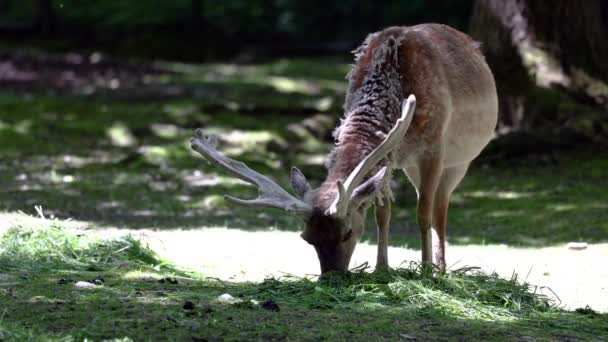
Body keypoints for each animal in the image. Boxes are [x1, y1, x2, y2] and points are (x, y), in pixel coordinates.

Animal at [191, 24, 498, 274]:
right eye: (306, 238)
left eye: (347, 233)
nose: (331, 277)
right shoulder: (390, 155)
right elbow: (382, 213)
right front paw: (382, 269)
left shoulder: (433, 149)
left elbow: (423, 213)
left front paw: (425, 273)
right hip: (411, 165)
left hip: (458, 161)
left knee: (440, 208)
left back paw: (441, 269)